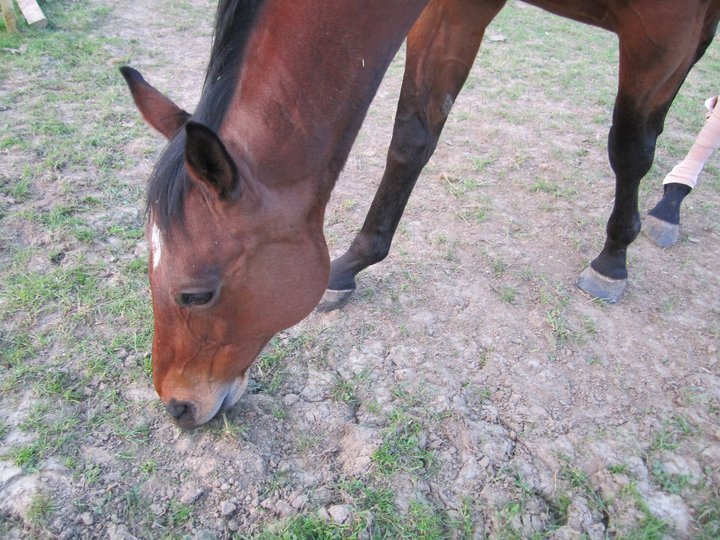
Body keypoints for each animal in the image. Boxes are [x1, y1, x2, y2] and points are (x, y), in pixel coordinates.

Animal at [121, 0, 720, 429]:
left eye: (195, 294)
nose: (176, 407)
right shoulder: (457, 9)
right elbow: (413, 135)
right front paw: (351, 265)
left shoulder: (667, 24)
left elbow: (631, 146)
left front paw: (613, 258)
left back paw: (666, 207)